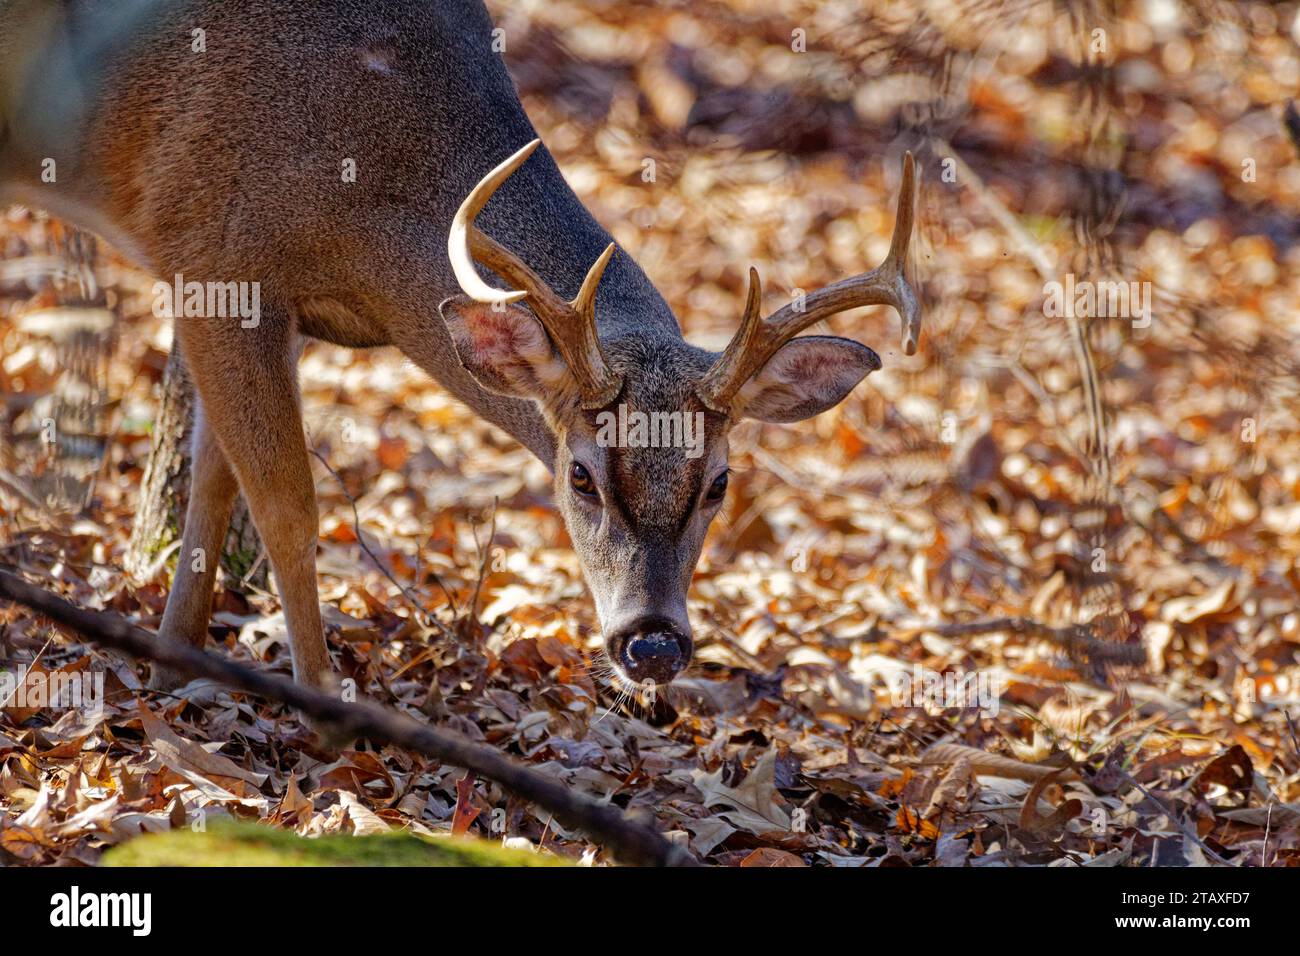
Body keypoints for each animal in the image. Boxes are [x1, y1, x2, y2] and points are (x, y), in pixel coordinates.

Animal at [0, 3, 925, 697]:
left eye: (720, 483)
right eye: (580, 475)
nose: (654, 645)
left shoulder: (264, 306)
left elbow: (212, 487)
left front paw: (171, 664)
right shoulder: (213, 252)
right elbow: (289, 507)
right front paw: (323, 705)